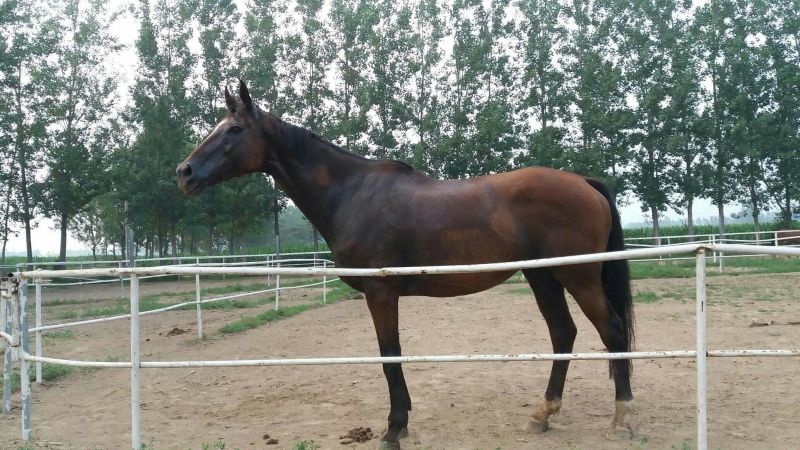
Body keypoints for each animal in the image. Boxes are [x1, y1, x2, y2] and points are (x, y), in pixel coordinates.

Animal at [177, 80, 635, 448]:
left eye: (234, 130)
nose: (185, 172)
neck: (351, 192)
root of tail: (584, 182)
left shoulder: (381, 293)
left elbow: (389, 354)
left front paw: (394, 428)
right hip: (543, 276)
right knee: (563, 333)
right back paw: (543, 414)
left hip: (577, 276)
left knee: (610, 330)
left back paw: (621, 418)